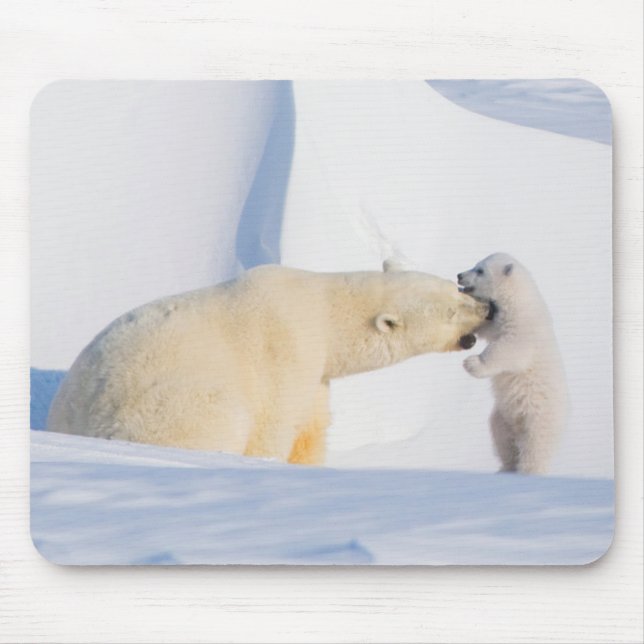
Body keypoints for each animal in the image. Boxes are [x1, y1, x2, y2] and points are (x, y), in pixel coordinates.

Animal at [47, 261, 489, 465]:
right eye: (451, 311)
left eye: (456, 289)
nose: (486, 307)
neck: (320, 313)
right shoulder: (285, 354)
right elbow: (274, 429)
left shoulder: (316, 375)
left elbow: (312, 428)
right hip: (171, 410)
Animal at [457, 253, 568, 475]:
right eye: (475, 264)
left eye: (480, 270)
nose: (459, 275)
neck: (519, 300)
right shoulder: (500, 321)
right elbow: (489, 329)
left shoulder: (524, 329)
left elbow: (508, 350)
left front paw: (472, 363)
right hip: (503, 416)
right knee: (502, 437)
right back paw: (505, 468)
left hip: (538, 418)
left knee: (535, 449)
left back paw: (527, 471)